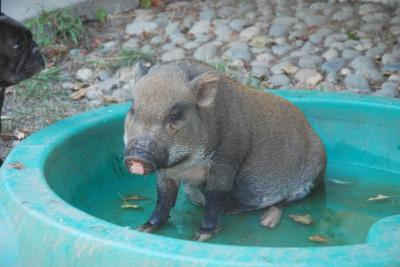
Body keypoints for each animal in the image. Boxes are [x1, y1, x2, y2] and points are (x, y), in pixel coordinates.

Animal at [123, 60, 326, 243]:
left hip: (310, 179)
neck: (185, 165)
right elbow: (164, 197)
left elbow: (215, 196)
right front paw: (142, 228)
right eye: (133, 110)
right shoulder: (166, 171)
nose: (137, 156)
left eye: (175, 115)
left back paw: (266, 222)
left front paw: (201, 236)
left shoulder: (227, 159)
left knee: (285, 202)